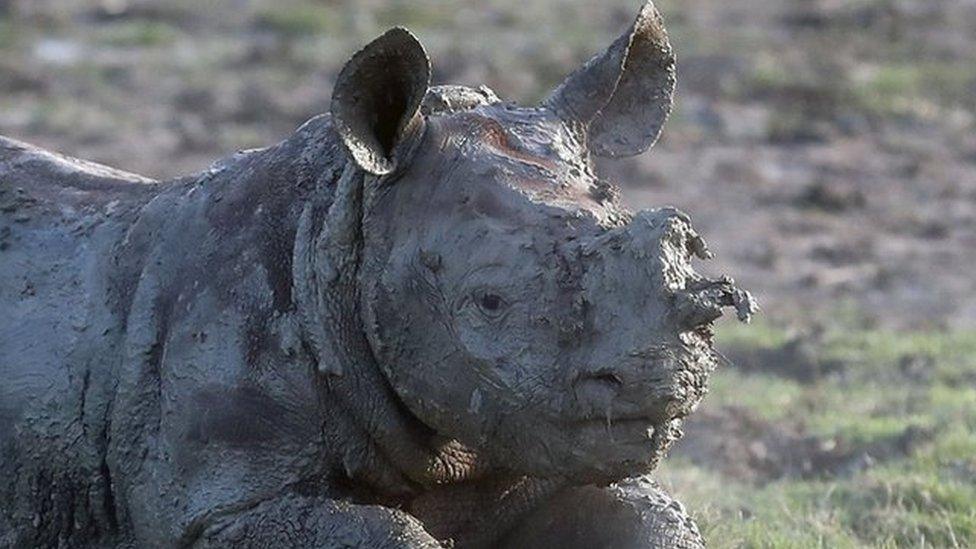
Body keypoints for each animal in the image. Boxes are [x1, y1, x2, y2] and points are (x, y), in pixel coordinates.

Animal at [0, 4, 756, 548]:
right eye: (486, 301)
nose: (658, 382)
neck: (334, 227)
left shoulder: (526, 438)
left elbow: (652, 518)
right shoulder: (218, 505)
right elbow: (389, 535)